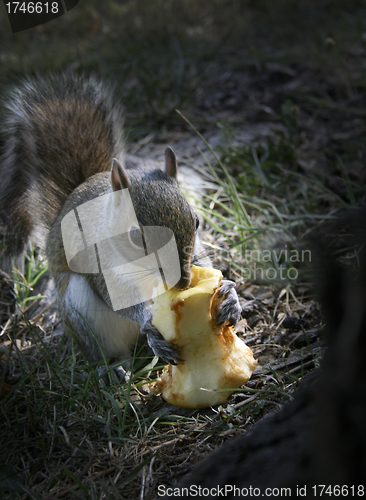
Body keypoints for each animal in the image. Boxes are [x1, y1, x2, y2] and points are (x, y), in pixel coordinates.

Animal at [0, 73, 243, 364]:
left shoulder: (196, 251)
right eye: (136, 236)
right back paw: (116, 365)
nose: (183, 283)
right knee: (104, 349)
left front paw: (230, 295)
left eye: (196, 222)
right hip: (80, 311)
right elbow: (121, 300)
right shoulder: (101, 264)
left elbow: (206, 264)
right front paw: (149, 318)